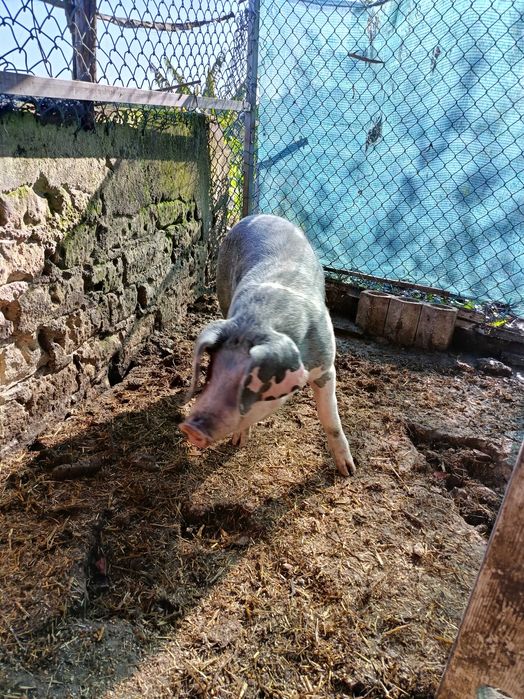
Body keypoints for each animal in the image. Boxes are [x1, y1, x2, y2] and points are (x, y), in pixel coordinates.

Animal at [179, 214, 356, 476]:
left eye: (250, 383)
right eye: (211, 373)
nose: (190, 428)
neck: (259, 321)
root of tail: (257, 215)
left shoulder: (326, 365)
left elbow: (330, 418)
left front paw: (348, 471)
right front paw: (238, 443)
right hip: (222, 287)